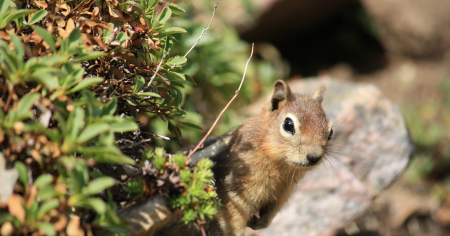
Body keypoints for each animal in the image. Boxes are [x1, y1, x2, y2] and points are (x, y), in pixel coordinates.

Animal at [153, 80, 332, 235]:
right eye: (288, 125)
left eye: (330, 132)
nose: (314, 156)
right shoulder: (234, 198)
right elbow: (234, 222)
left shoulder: (282, 193)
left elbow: (273, 210)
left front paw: (261, 223)